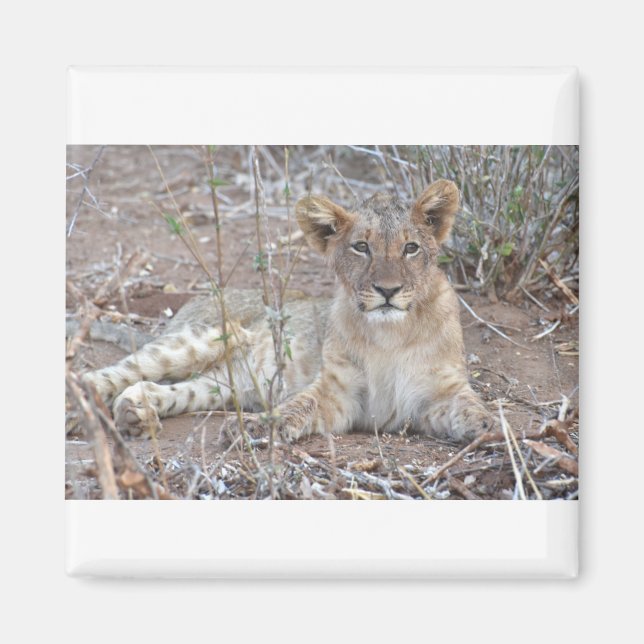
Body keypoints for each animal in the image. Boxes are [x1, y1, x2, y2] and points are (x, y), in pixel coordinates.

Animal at [82, 179, 491, 444]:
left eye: (410, 248)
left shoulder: (437, 393)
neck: (391, 333)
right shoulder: (338, 392)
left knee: (163, 387)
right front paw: (253, 428)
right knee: (108, 374)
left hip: (224, 385)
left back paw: (136, 412)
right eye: (361, 247)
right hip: (205, 337)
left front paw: (495, 431)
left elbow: (473, 408)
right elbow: (297, 406)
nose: (387, 291)